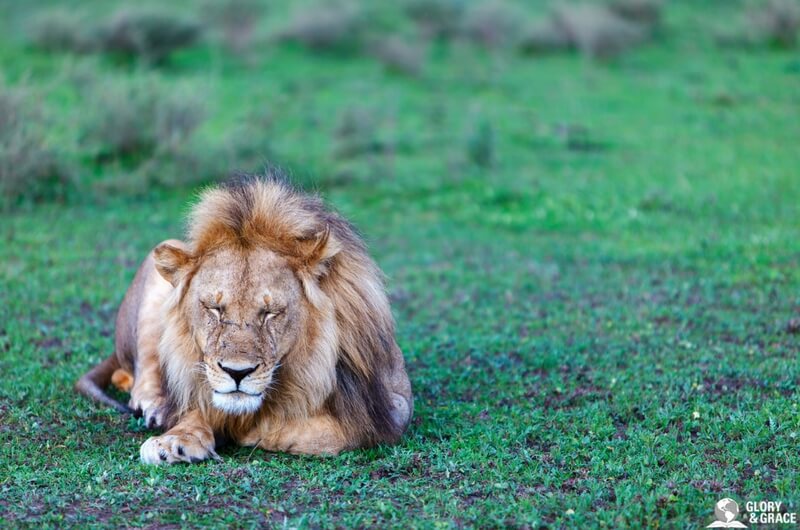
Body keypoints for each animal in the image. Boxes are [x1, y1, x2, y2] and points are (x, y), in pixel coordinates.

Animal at [76, 174, 413, 464]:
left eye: (270, 313)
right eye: (214, 309)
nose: (237, 373)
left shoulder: (393, 408)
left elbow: (326, 432)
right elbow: (197, 407)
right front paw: (174, 440)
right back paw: (155, 406)